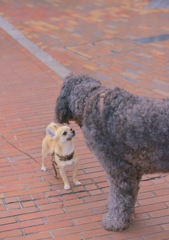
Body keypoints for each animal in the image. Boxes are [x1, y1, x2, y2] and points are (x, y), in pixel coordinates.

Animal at [54, 73, 169, 231]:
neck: (89, 101)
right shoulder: (131, 171)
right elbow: (127, 197)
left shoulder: (118, 169)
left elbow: (120, 197)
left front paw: (115, 221)